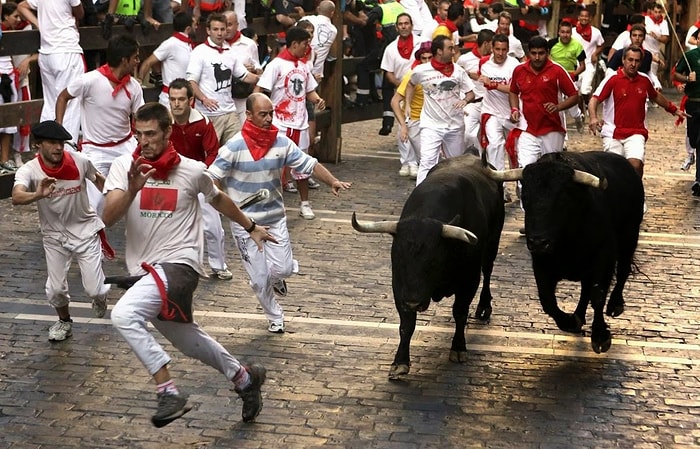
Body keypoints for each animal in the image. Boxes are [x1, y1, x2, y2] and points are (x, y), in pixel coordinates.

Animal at [352, 154, 506, 378]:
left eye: (433, 261)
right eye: (398, 260)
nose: (414, 302)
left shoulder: (469, 280)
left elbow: (460, 312)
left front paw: (458, 348)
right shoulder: (400, 287)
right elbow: (407, 325)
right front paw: (400, 362)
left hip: (492, 244)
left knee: (488, 271)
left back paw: (484, 307)